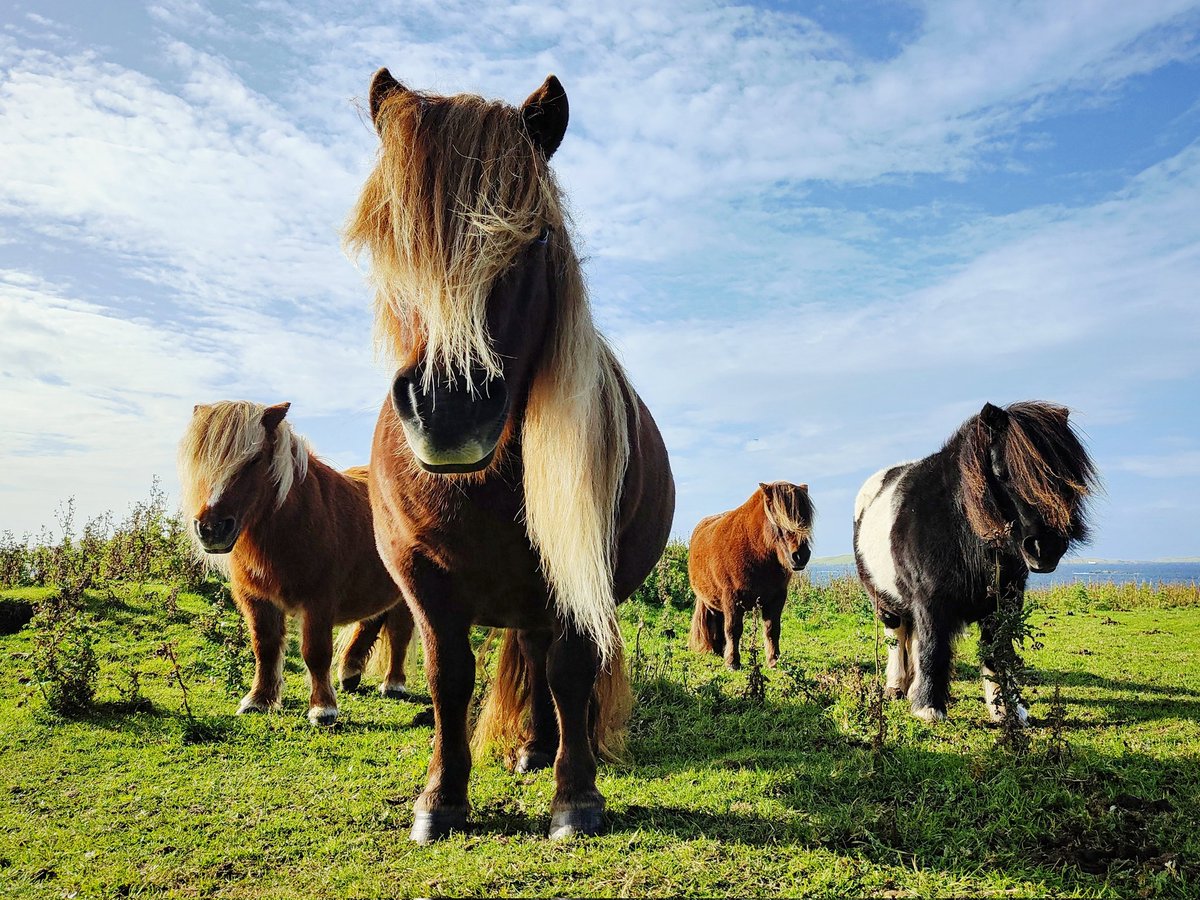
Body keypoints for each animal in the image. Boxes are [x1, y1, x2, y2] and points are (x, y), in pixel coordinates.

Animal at [178, 400, 415, 725]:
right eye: (200, 461)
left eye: (254, 460)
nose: (211, 529)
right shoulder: (255, 599)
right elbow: (264, 647)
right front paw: (259, 700)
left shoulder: (319, 601)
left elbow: (315, 651)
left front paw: (323, 709)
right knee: (372, 621)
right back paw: (349, 673)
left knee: (399, 631)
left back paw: (393, 684)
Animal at [345, 70, 675, 842]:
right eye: (389, 235)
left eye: (536, 236)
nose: (449, 408)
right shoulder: (420, 576)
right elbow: (448, 676)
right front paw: (441, 799)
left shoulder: (581, 567)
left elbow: (571, 669)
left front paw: (575, 797)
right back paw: (531, 747)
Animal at [688, 482, 814, 669]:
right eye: (778, 518)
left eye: (805, 518)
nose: (801, 556)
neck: (756, 549)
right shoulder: (732, 598)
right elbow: (733, 629)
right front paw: (732, 662)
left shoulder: (776, 598)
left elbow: (772, 629)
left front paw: (773, 660)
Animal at [854, 401, 1098, 725]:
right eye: (1001, 473)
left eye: (1066, 474)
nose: (1045, 548)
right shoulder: (930, 601)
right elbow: (934, 648)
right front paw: (929, 708)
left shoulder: (1005, 603)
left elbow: (997, 652)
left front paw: (1006, 710)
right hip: (884, 600)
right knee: (897, 634)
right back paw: (896, 687)